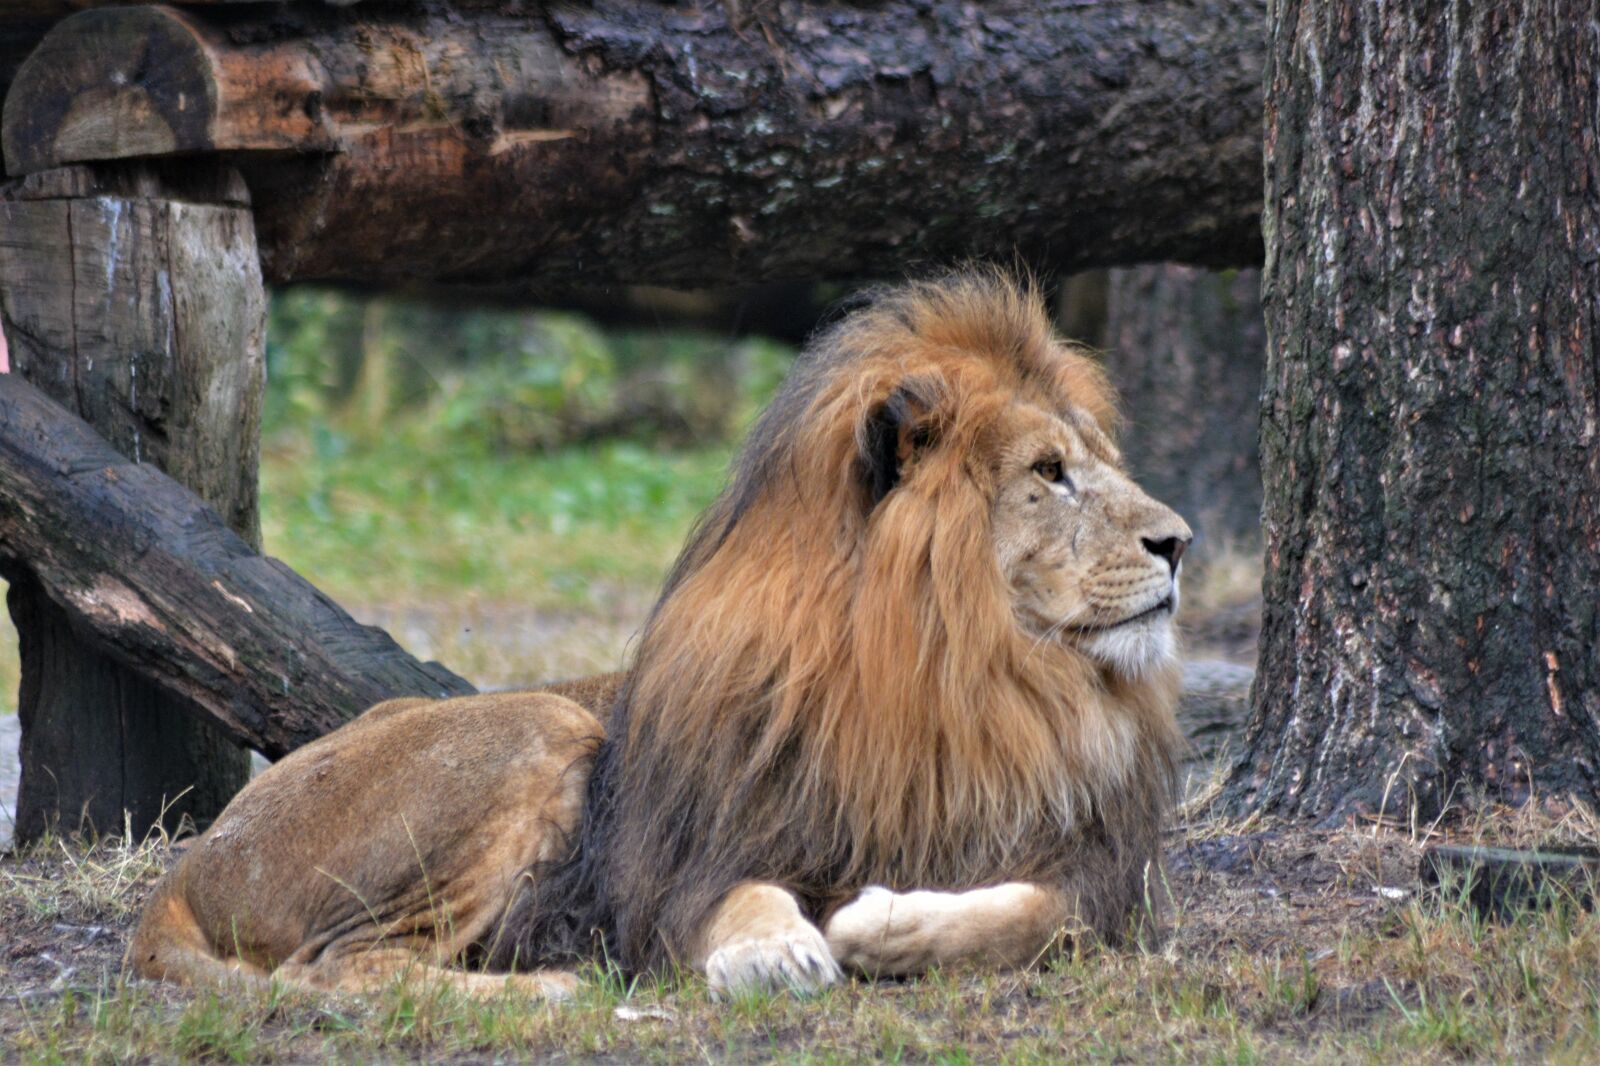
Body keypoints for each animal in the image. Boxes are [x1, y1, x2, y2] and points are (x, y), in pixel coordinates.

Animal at [129, 270, 1191, 999]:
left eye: (1100, 462)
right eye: (1049, 472)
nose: (1180, 542)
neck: (960, 679)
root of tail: (188, 867)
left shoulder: (1099, 872)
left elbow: (1031, 917)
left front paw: (881, 925)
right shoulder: (684, 863)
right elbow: (738, 897)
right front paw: (777, 951)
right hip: (539, 727)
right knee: (335, 968)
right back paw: (555, 988)